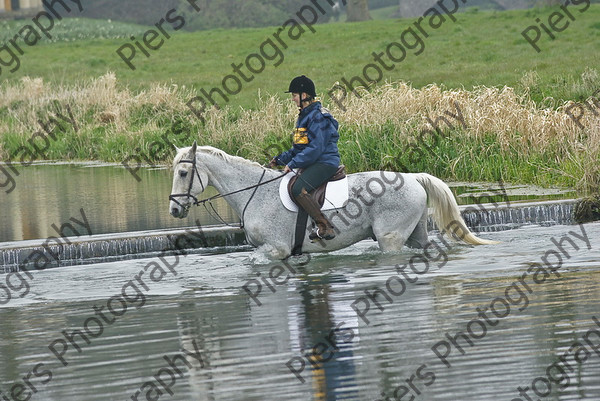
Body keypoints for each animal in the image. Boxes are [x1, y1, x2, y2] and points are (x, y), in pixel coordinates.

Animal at [169, 142, 496, 258]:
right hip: (415, 233)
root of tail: (413, 177)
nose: (174, 209)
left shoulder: (274, 250)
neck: (254, 193)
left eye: (184, 173)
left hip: (390, 237)